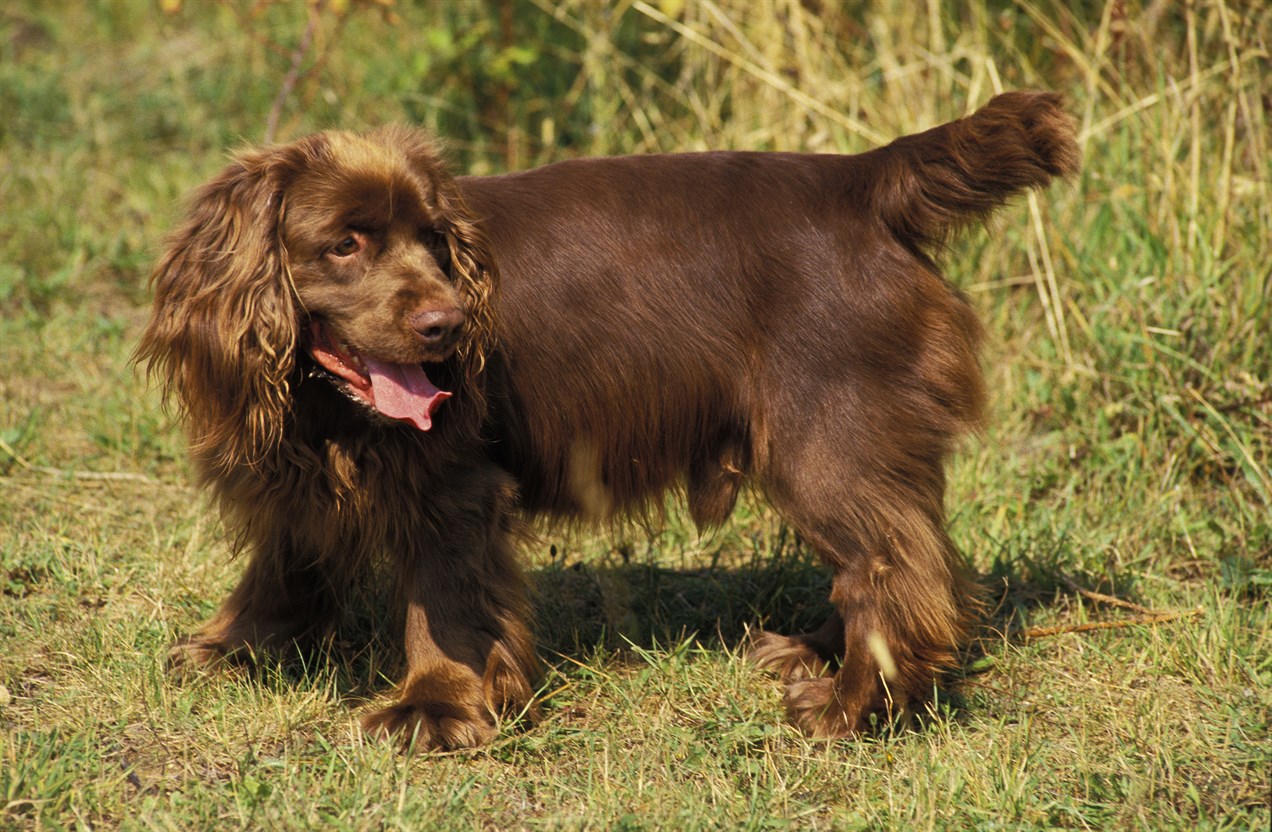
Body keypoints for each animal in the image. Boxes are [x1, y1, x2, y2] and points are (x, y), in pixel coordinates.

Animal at [136, 91, 1073, 748]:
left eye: (434, 241)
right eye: (344, 244)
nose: (448, 325)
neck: (317, 404)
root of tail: (859, 179)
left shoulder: (451, 482)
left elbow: (442, 600)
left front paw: (435, 708)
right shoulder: (297, 475)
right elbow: (285, 565)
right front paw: (233, 649)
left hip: (825, 433)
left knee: (889, 569)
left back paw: (847, 707)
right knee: (907, 551)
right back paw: (812, 650)